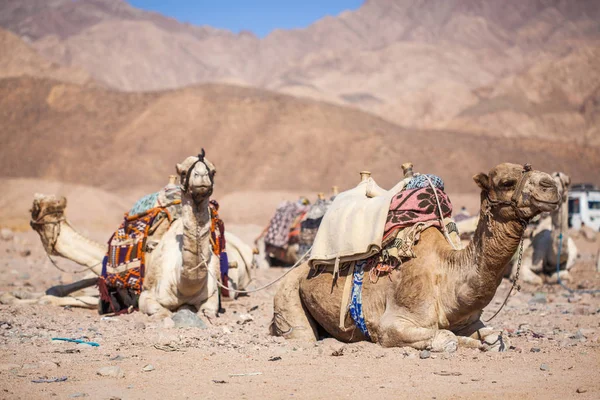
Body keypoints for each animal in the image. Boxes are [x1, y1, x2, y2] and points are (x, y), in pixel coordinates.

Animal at [272, 162, 564, 350]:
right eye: (506, 182)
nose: (551, 186)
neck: (447, 274)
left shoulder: (468, 318)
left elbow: (497, 336)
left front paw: (484, 342)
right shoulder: (391, 324)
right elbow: (447, 339)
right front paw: (467, 343)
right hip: (287, 294)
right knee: (301, 335)